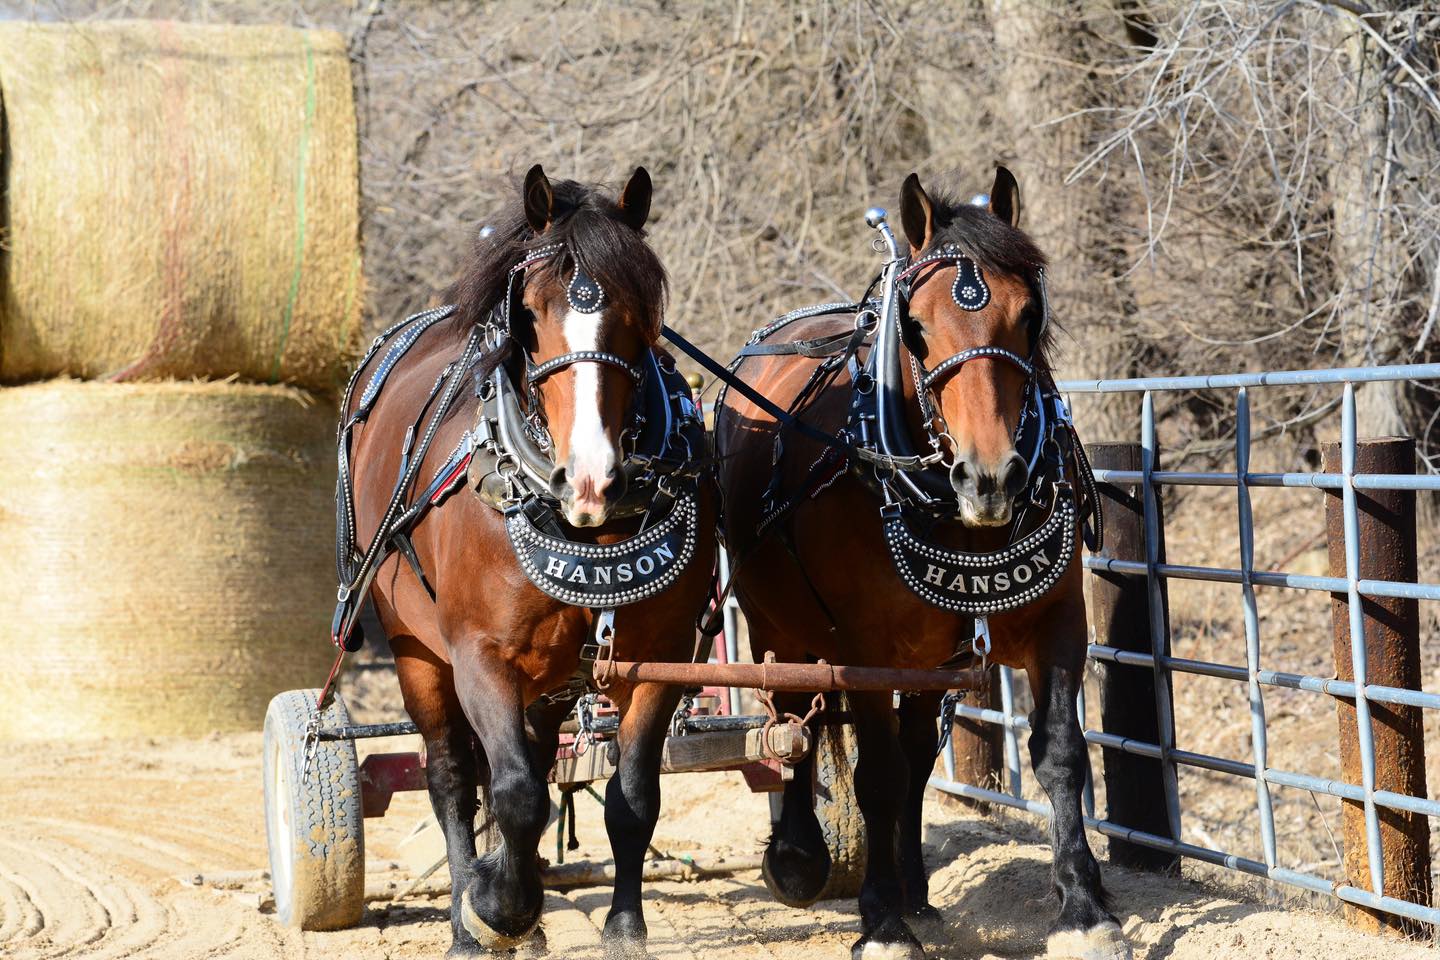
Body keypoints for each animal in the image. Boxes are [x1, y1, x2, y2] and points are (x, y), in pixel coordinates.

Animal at [340, 165, 717, 958]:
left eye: (641, 313)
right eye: (533, 316)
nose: (592, 479)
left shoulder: (659, 657)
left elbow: (632, 797)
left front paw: (623, 928)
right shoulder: (480, 655)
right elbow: (511, 794)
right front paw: (494, 905)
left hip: (550, 676)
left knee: (539, 763)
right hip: (416, 648)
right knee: (453, 776)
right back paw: (468, 920)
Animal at [714, 168, 1127, 960]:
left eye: (1029, 316)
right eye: (917, 327)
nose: (989, 478)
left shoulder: (1059, 624)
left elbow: (1061, 754)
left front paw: (1085, 908)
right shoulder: (865, 651)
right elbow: (875, 775)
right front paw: (880, 922)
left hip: (931, 659)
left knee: (912, 753)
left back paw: (915, 891)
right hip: (778, 626)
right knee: (791, 724)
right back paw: (801, 857)